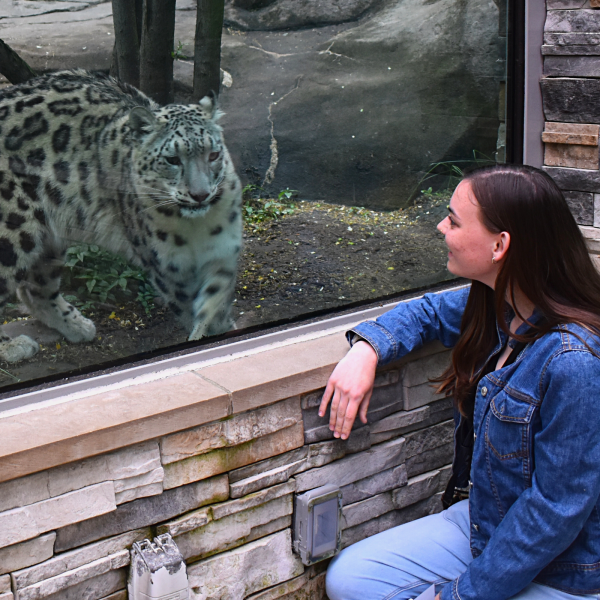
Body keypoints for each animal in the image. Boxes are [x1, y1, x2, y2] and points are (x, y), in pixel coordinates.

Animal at [0, 70, 241, 360]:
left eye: (213, 154)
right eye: (172, 159)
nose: (200, 194)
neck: (196, 228)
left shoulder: (222, 251)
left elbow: (216, 297)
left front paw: (222, 327)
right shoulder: (170, 268)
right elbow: (189, 303)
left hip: (48, 240)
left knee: (34, 288)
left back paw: (78, 326)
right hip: (11, 233)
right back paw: (13, 347)